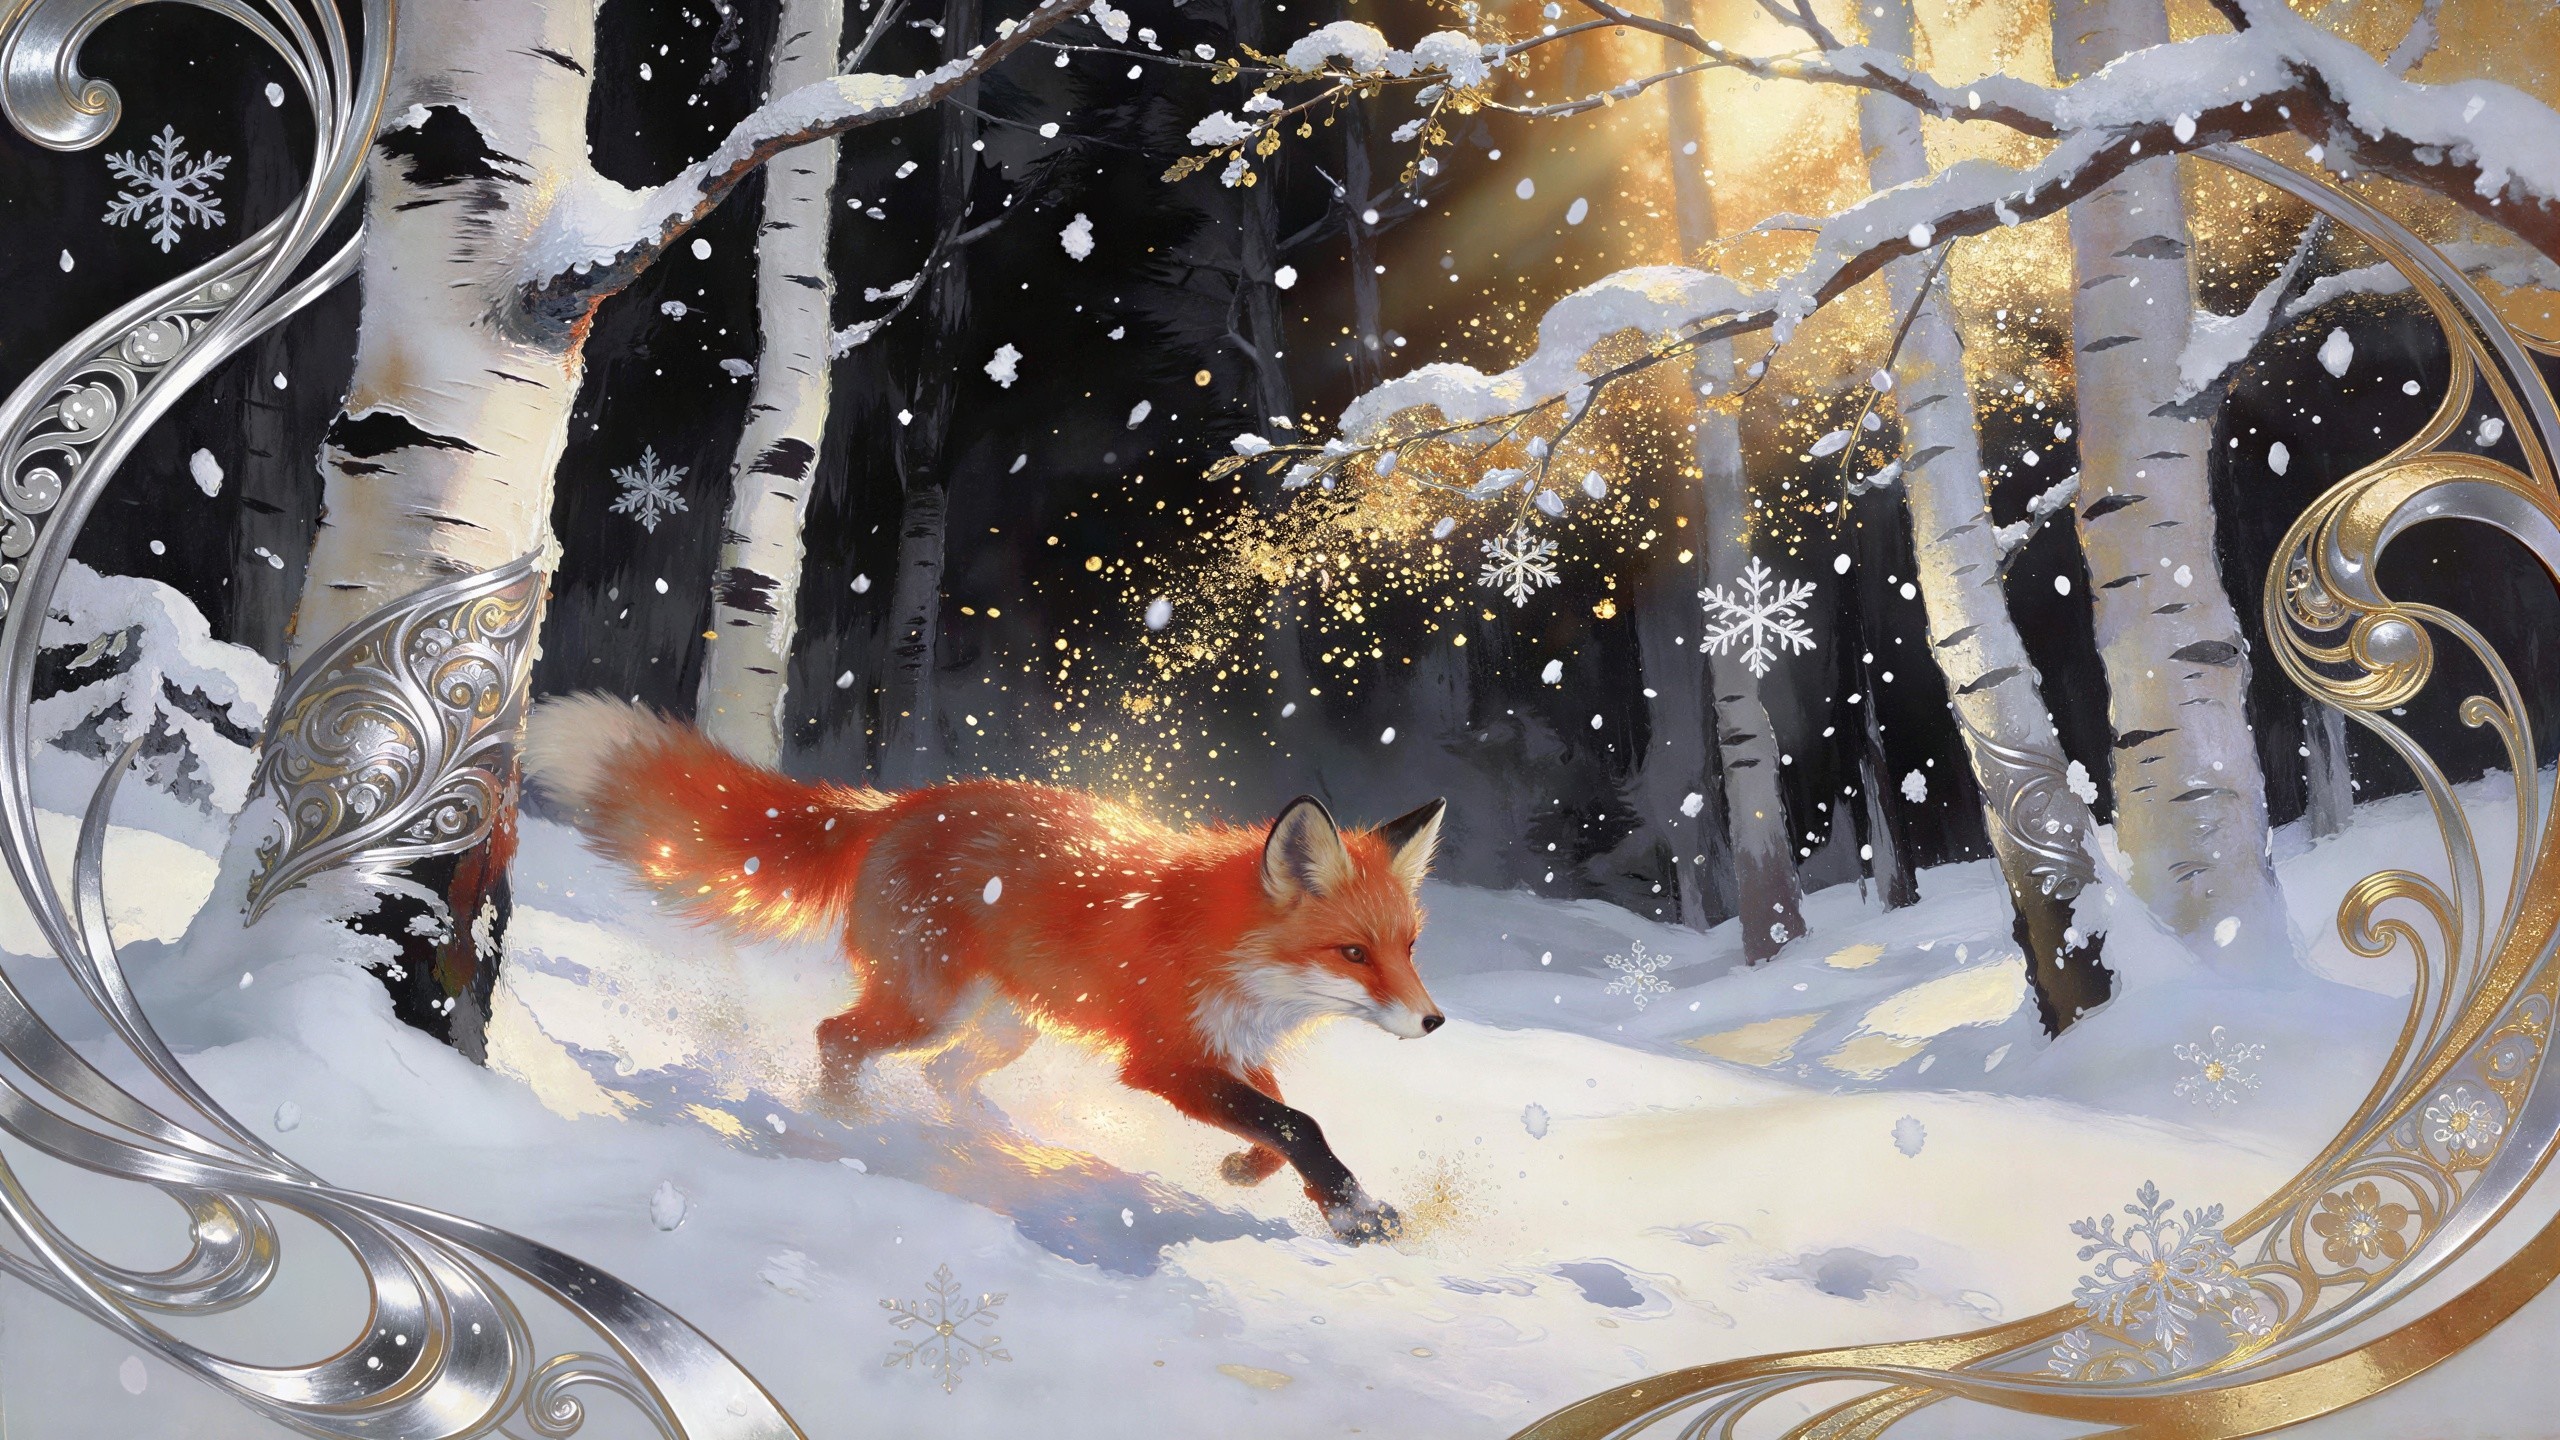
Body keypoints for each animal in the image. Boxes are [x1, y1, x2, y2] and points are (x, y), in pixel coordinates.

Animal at [520, 694, 1448, 1243]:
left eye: (1408, 946)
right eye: (1353, 952)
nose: (1435, 1021)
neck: (1223, 944)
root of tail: (894, 804)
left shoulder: (1224, 1048)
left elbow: (1280, 1116)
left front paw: (1252, 1173)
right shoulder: (1163, 1059)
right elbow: (1298, 1123)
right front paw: (1356, 1213)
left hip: (1005, 1027)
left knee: (945, 1078)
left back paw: (995, 1142)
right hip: (929, 1009)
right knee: (837, 1037)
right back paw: (846, 1124)